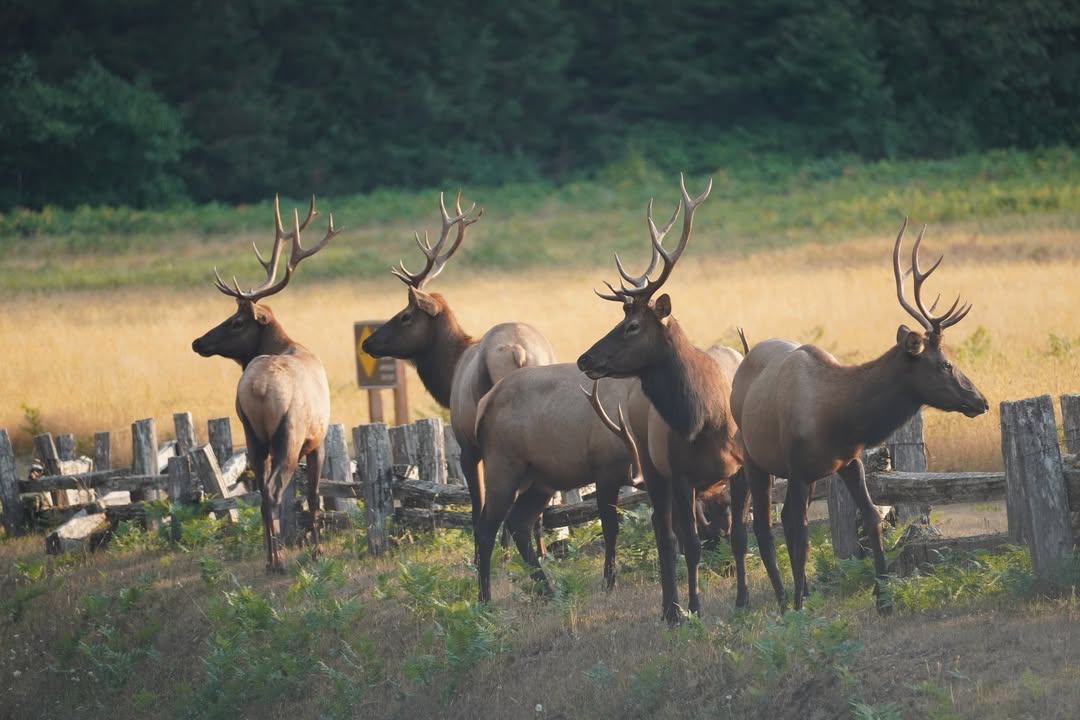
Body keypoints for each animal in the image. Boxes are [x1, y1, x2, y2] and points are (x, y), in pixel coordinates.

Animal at [191, 195, 340, 573]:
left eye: (235, 321)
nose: (197, 342)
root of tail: (257, 390)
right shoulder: (317, 440)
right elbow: (313, 495)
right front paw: (317, 551)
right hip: (288, 435)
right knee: (273, 491)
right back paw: (280, 561)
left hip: (251, 434)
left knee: (260, 492)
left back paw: (270, 558)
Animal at [359, 192, 556, 542]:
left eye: (405, 315)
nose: (368, 344)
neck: (449, 373)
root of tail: (519, 352)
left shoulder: (467, 446)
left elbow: (477, 512)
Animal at [576, 174, 745, 624]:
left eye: (632, 326)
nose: (585, 358)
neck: (705, 418)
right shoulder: (680, 473)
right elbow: (690, 545)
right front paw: (694, 608)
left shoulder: (742, 469)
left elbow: (742, 536)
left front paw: (744, 600)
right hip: (650, 465)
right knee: (663, 533)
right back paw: (670, 610)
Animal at [728, 218, 989, 613]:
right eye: (945, 363)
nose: (981, 400)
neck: (839, 418)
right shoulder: (798, 468)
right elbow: (798, 534)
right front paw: (798, 609)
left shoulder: (849, 462)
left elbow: (870, 517)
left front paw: (884, 598)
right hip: (754, 459)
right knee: (761, 525)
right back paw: (783, 599)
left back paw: (801, 591)